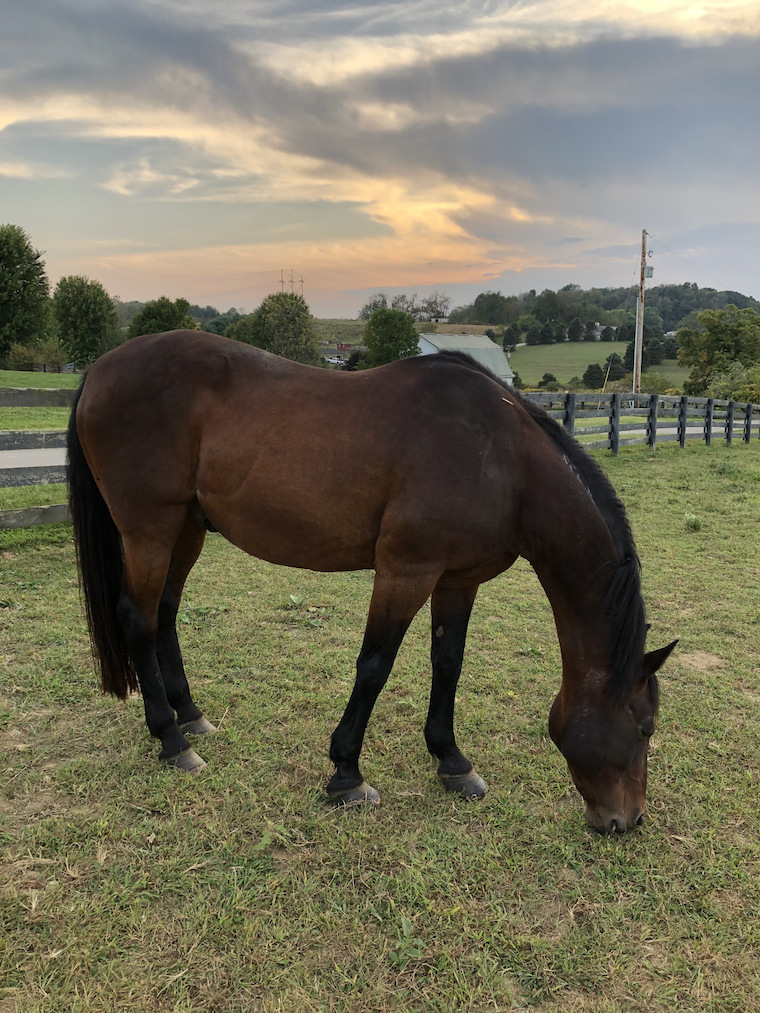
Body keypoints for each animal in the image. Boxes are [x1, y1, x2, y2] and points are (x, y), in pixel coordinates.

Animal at [67, 330, 676, 833]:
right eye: (645, 728)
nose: (628, 820)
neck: (503, 459)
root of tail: (100, 368)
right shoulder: (405, 572)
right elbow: (374, 667)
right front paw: (346, 773)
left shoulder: (458, 579)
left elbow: (447, 663)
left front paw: (451, 760)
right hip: (149, 529)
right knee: (139, 619)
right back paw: (170, 739)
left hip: (187, 529)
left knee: (166, 614)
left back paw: (191, 718)